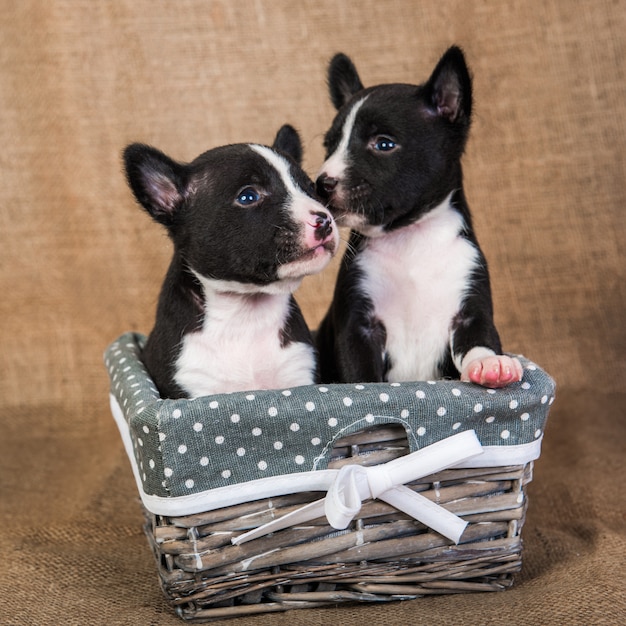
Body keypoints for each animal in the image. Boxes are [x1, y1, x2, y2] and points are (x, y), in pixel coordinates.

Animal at [314, 47, 520, 386]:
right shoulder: (357, 329)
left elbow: (480, 340)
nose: (322, 183)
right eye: (329, 147)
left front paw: (490, 363)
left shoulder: (470, 311)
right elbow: (363, 377)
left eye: (384, 144)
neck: (410, 239)